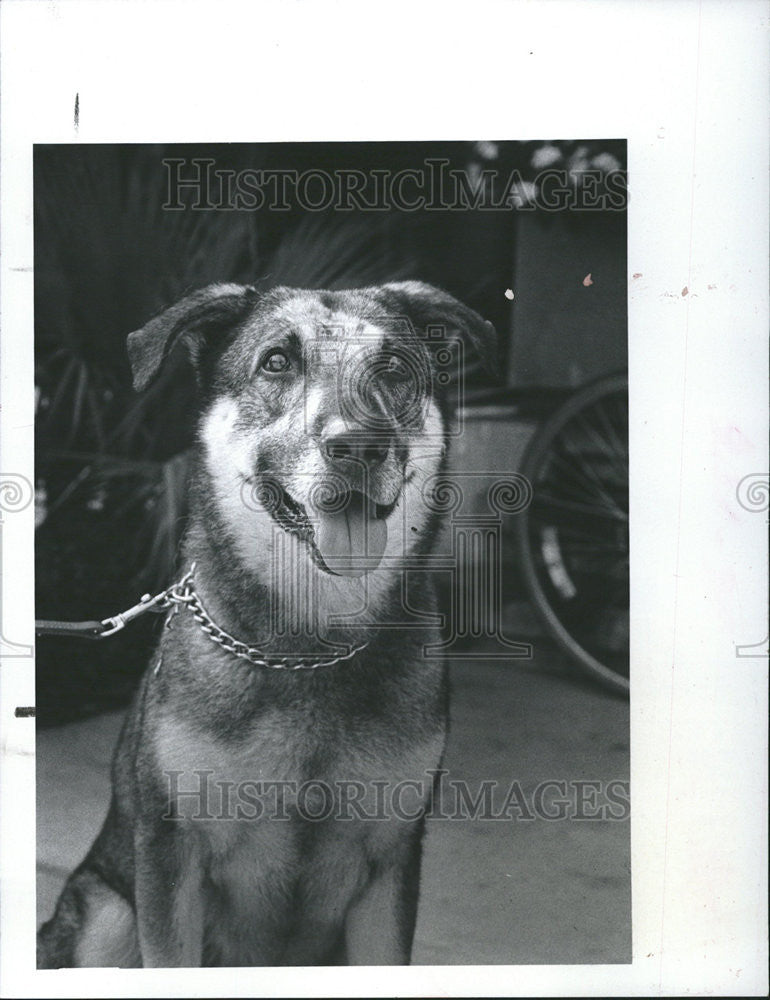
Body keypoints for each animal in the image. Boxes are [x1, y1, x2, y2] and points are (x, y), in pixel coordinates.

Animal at [36, 278, 496, 964]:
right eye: (277, 362)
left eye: (393, 367)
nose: (359, 445)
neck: (309, 641)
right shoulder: (171, 858)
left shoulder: (389, 866)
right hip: (105, 910)